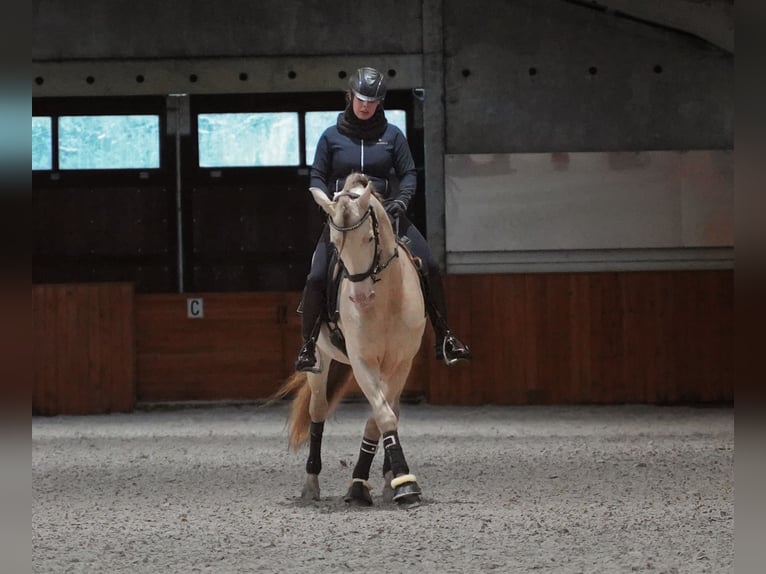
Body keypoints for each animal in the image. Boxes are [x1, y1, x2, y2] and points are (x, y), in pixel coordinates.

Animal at [274, 173, 432, 506]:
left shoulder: (401, 362)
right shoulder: (362, 361)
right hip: (319, 362)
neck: (386, 300)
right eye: (335, 243)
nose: (360, 298)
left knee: (392, 408)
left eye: (370, 239)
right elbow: (382, 414)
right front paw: (392, 485)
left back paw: (385, 480)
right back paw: (311, 485)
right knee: (317, 412)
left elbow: (381, 416)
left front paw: (389, 482)